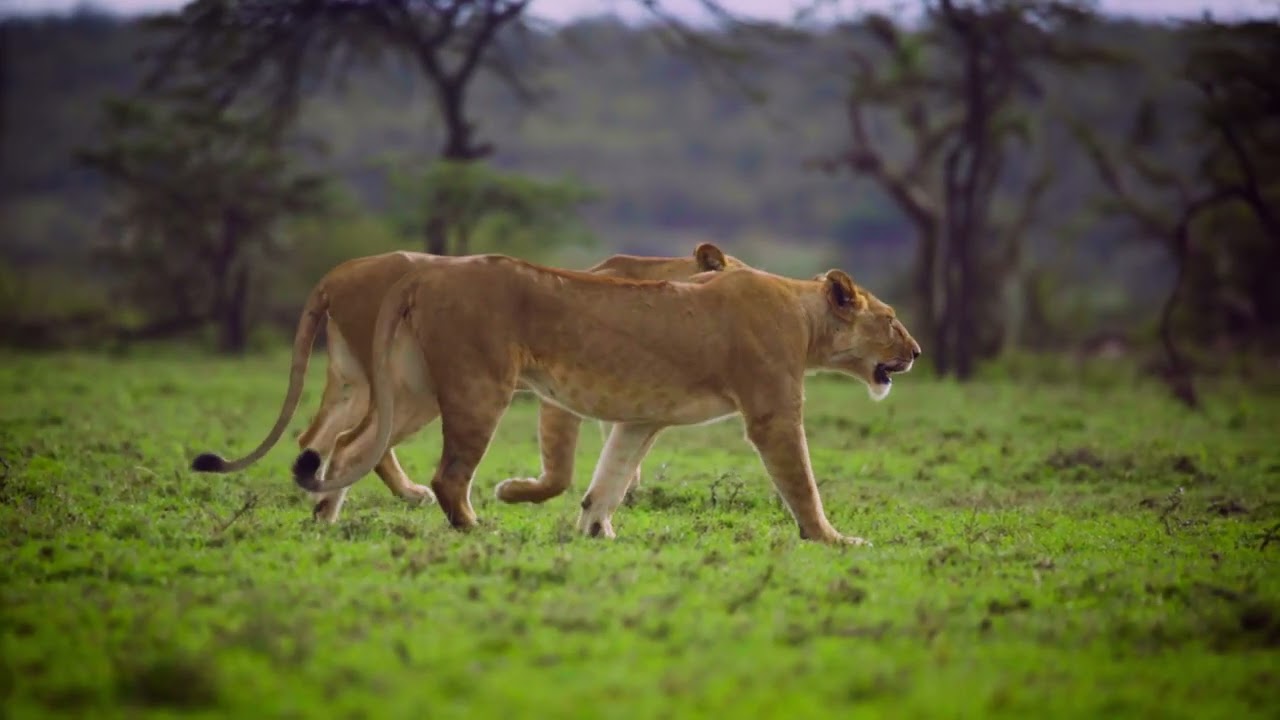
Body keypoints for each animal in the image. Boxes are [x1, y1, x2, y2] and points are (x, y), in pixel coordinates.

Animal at [189, 243, 744, 522]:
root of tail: (339, 273)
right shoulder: (563, 388)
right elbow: (560, 470)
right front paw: (516, 492)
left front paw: (620, 493)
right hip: (415, 382)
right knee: (367, 446)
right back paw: (426, 503)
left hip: (366, 380)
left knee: (324, 438)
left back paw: (328, 509)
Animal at [294, 256, 921, 545]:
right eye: (891, 319)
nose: (916, 352)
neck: (803, 314)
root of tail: (428, 270)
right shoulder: (772, 413)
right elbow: (802, 484)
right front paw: (833, 539)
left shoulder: (641, 419)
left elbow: (610, 479)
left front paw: (597, 533)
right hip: (479, 388)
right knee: (447, 475)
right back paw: (478, 529)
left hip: (415, 391)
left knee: (349, 447)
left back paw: (325, 520)